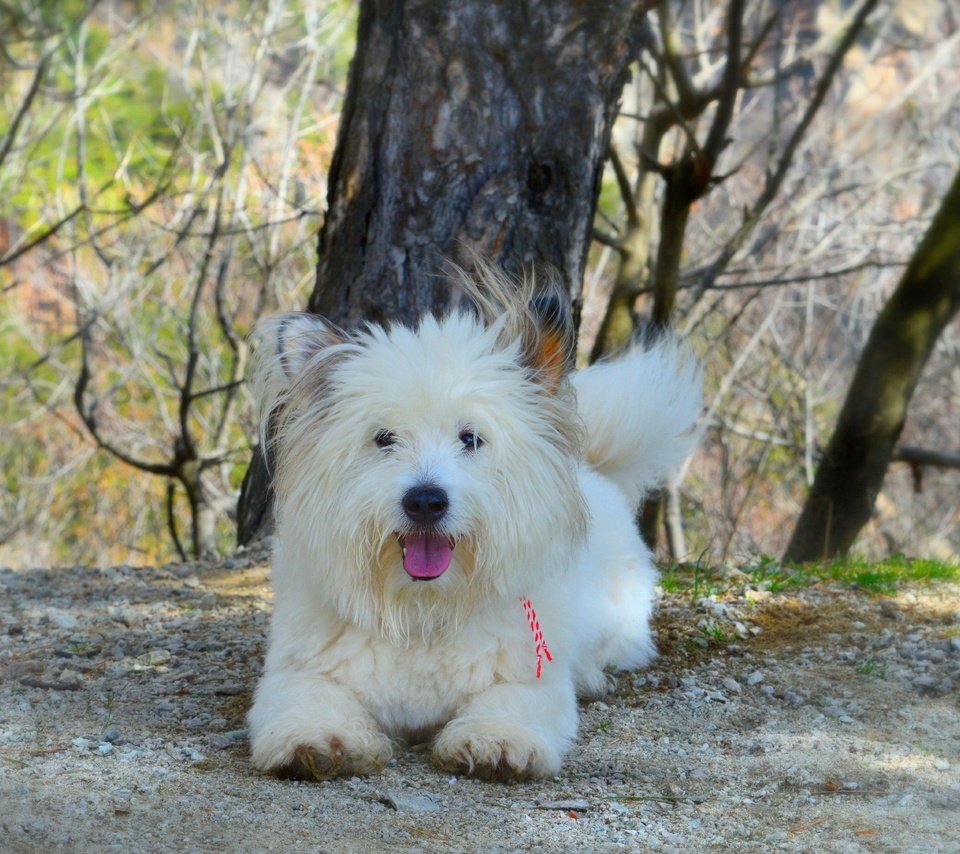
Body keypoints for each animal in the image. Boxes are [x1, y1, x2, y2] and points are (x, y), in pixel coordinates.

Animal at [248, 268, 696, 784]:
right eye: (384, 438)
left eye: (470, 439)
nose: (425, 501)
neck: (423, 608)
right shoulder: (301, 672)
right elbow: (311, 701)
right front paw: (318, 740)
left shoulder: (528, 680)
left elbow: (509, 705)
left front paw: (495, 742)